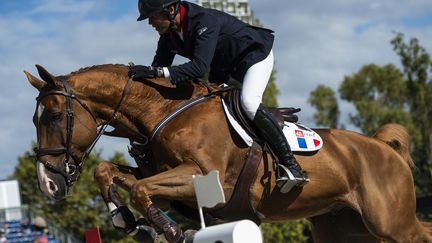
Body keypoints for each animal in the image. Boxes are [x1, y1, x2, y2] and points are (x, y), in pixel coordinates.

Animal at [26, 63, 432, 242]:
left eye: (54, 115)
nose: (47, 183)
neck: (163, 111)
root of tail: (384, 147)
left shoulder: (208, 180)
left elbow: (141, 189)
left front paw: (169, 231)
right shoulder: (170, 183)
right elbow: (111, 173)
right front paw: (124, 219)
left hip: (391, 224)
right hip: (343, 228)